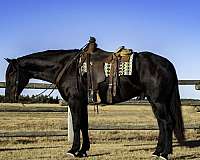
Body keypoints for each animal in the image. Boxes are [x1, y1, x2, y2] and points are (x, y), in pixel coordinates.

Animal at [5, 48, 186, 159]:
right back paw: (157, 152)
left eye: (12, 73)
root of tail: (166, 63)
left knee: (167, 123)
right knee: (162, 124)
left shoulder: (75, 101)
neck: (67, 67)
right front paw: (83, 150)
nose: (8, 96)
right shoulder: (82, 102)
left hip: (158, 101)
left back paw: (164, 154)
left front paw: (73, 151)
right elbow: (84, 125)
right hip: (156, 102)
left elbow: (77, 125)